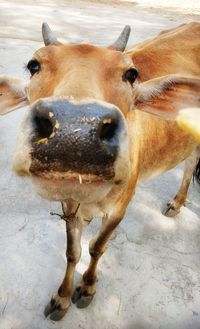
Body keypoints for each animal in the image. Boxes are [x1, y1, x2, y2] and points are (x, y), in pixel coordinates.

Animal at [0, 22, 199, 318]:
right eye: (34, 65)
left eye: (130, 74)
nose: (75, 131)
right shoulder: (69, 205)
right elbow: (72, 252)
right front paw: (61, 298)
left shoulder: (119, 208)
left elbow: (96, 247)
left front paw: (87, 287)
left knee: (190, 165)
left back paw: (176, 202)